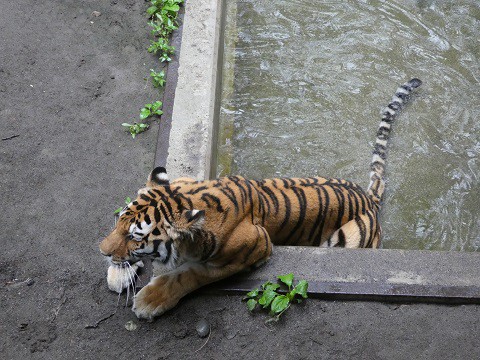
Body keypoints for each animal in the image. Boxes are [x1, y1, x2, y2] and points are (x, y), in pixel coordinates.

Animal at [100, 78, 420, 318]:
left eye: (136, 237)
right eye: (119, 221)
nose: (101, 251)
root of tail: (369, 197)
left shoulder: (253, 248)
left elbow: (190, 274)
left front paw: (150, 299)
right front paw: (117, 274)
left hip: (349, 239)